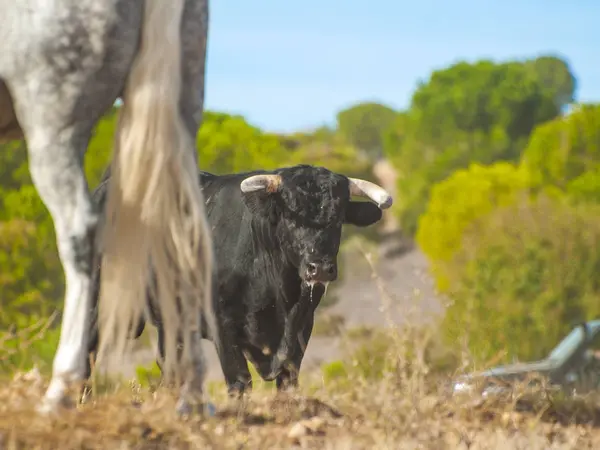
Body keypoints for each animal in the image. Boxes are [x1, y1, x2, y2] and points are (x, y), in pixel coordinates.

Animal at [0, 0, 216, 414]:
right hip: (184, 110)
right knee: (186, 236)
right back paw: (193, 396)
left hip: (52, 125)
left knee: (79, 233)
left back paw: (60, 390)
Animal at [85, 164, 394, 394]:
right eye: (290, 216)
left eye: (339, 218)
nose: (319, 268)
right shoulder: (223, 325)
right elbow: (239, 382)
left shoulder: (302, 326)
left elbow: (287, 382)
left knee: (170, 367)